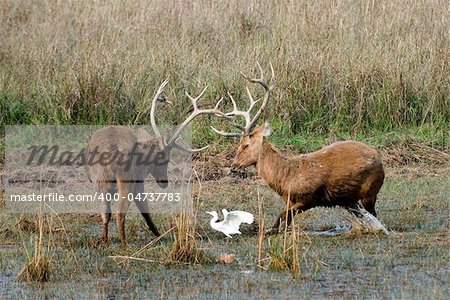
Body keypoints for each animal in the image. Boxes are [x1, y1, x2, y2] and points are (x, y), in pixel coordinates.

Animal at [86, 79, 230, 244]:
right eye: (165, 159)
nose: (164, 182)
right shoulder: (139, 180)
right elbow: (145, 210)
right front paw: (159, 234)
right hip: (127, 179)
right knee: (120, 213)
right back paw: (124, 243)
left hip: (99, 180)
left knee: (106, 212)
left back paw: (105, 239)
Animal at [213, 62, 384, 232]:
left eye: (245, 145)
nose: (233, 166)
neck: (286, 178)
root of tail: (380, 160)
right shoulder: (290, 200)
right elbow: (283, 222)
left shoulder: (309, 198)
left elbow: (280, 218)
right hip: (352, 198)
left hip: (369, 191)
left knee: (374, 215)